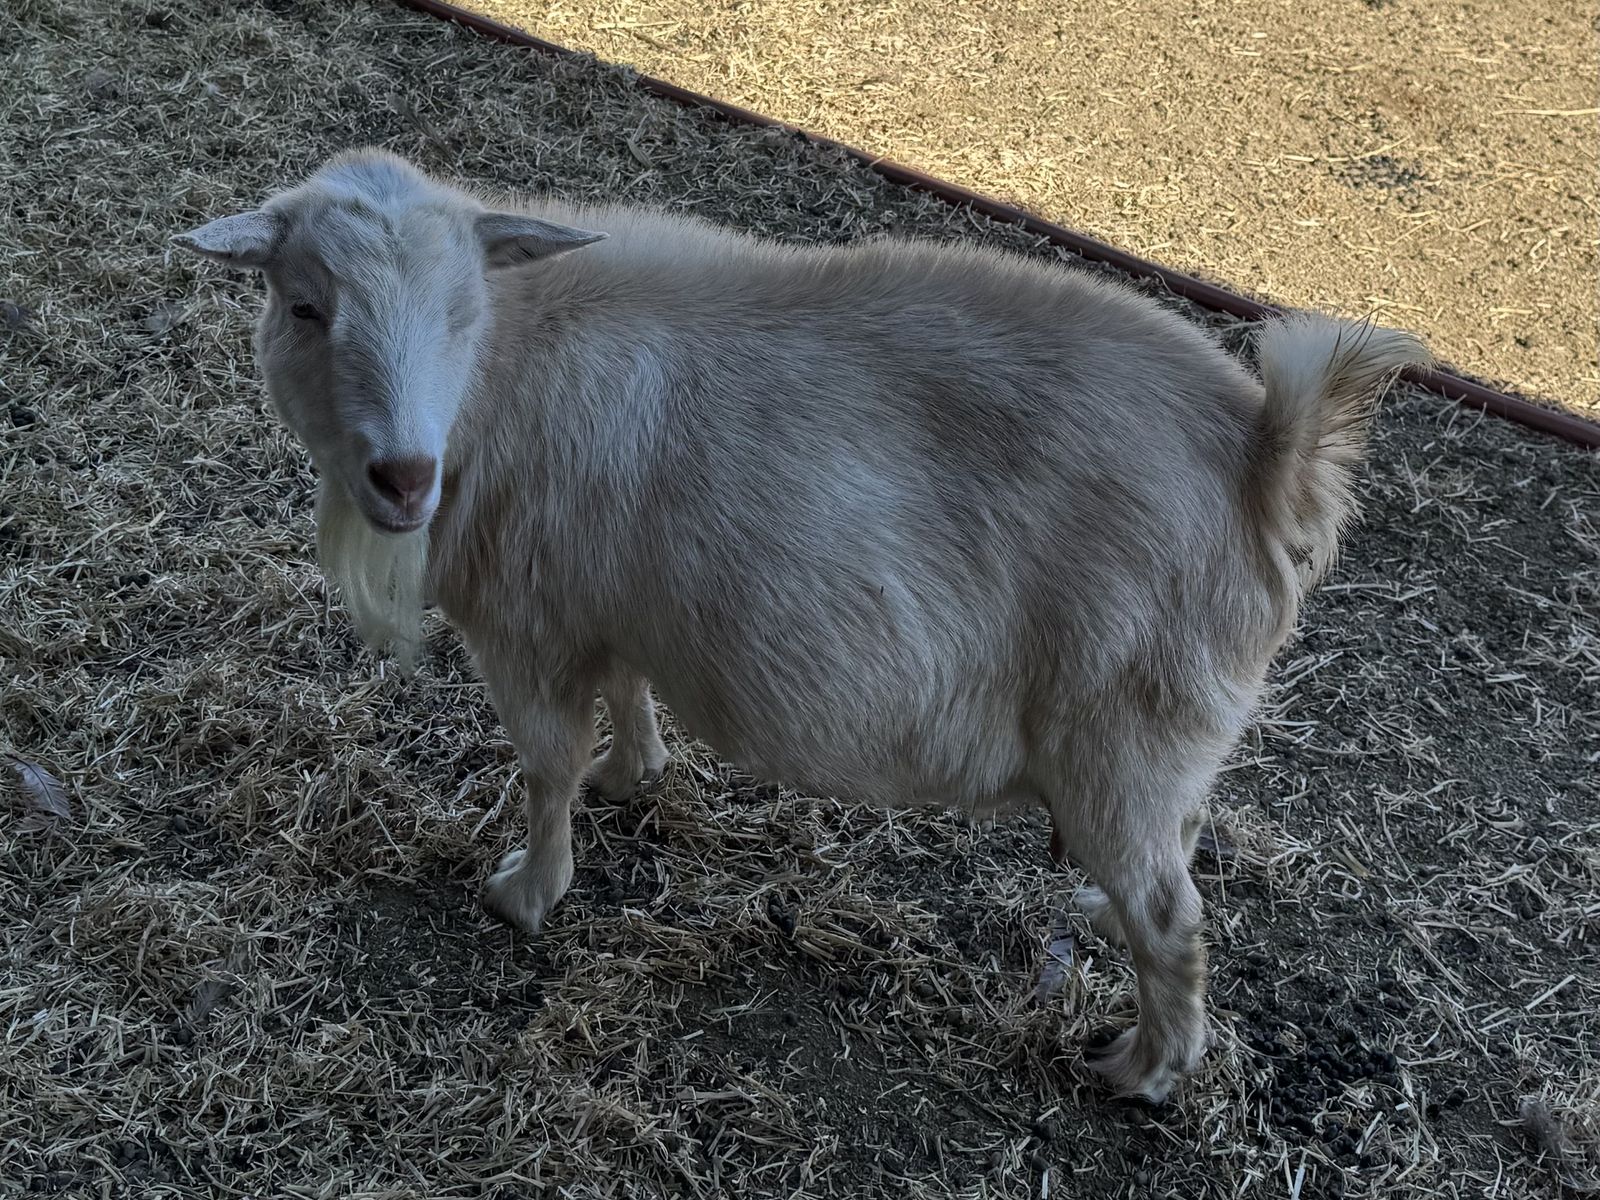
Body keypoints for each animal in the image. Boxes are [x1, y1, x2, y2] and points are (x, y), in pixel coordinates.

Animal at [174, 148, 1427, 1102]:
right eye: (304, 306)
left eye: (460, 312)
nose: (402, 478)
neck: (508, 367)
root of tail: (1266, 456)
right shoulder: (600, 600)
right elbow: (622, 700)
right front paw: (635, 773)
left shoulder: (525, 622)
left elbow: (543, 765)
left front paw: (528, 892)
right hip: (1166, 735)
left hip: (1126, 723)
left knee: (1171, 918)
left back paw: (1141, 1070)